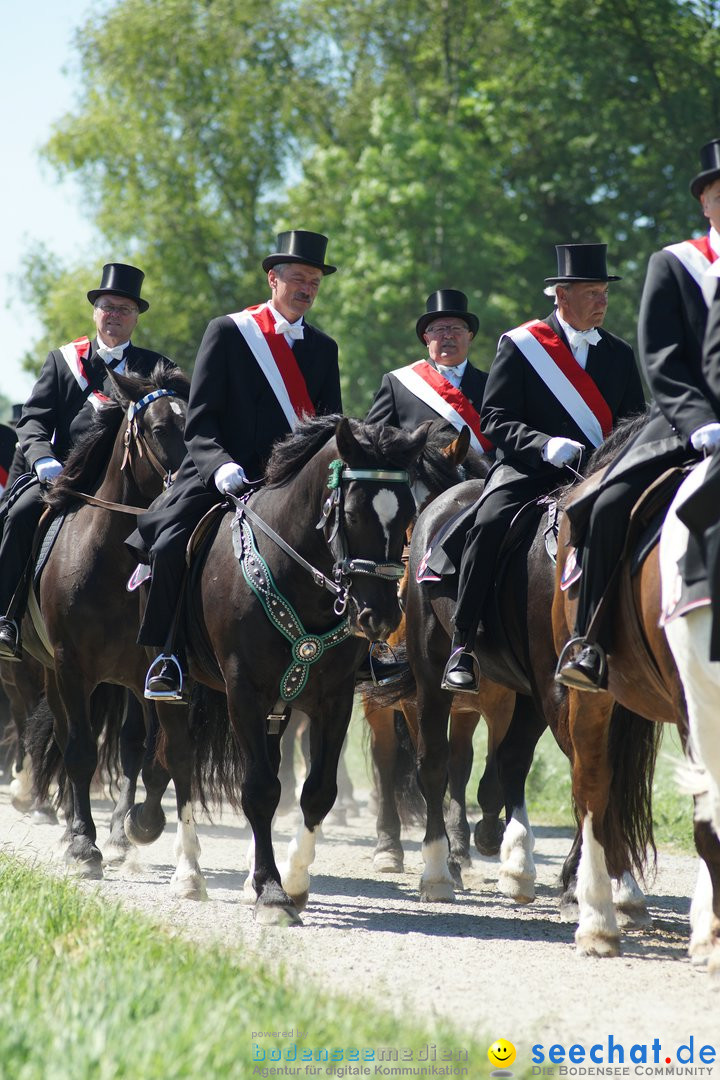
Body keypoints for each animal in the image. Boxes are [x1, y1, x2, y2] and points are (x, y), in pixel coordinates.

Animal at [145, 416, 427, 924]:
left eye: (408, 513)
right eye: (351, 513)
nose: (379, 617)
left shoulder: (333, 698)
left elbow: (316, 791)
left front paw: (291, 881)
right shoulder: (244, 692)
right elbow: (258, 788)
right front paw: (273, 895)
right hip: (175, 690)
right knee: (181, 762)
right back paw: (189, 874)